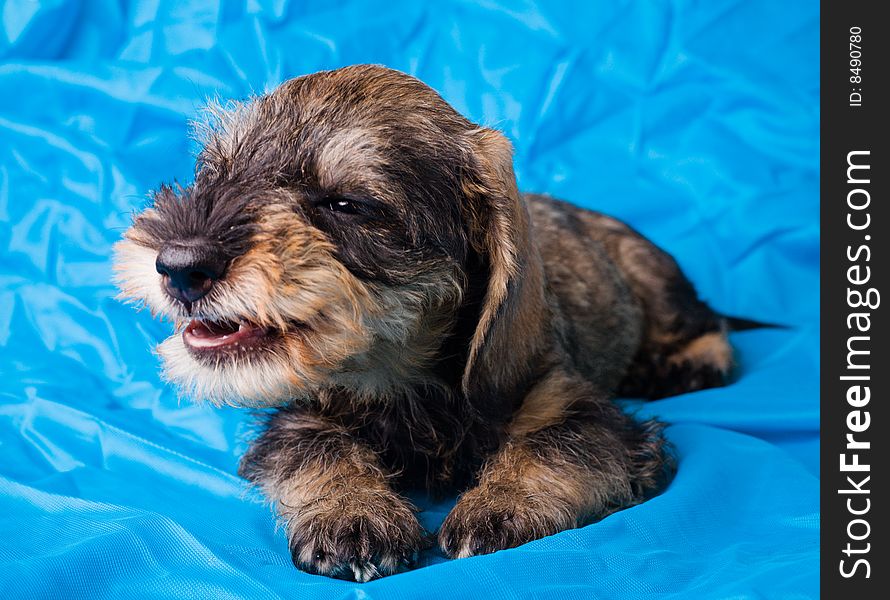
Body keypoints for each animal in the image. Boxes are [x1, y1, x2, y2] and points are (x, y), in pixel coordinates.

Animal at [112, 64, 736, 580]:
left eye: (345, 204)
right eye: (215, 176)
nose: (178, 265)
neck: (402, 380)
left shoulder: (580, 407)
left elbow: (558, 444)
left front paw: (501, 505)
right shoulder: (301, 414)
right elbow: (318, 448)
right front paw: (353, 513)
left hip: (653, 276)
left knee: (710, 325)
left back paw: (687, 364)